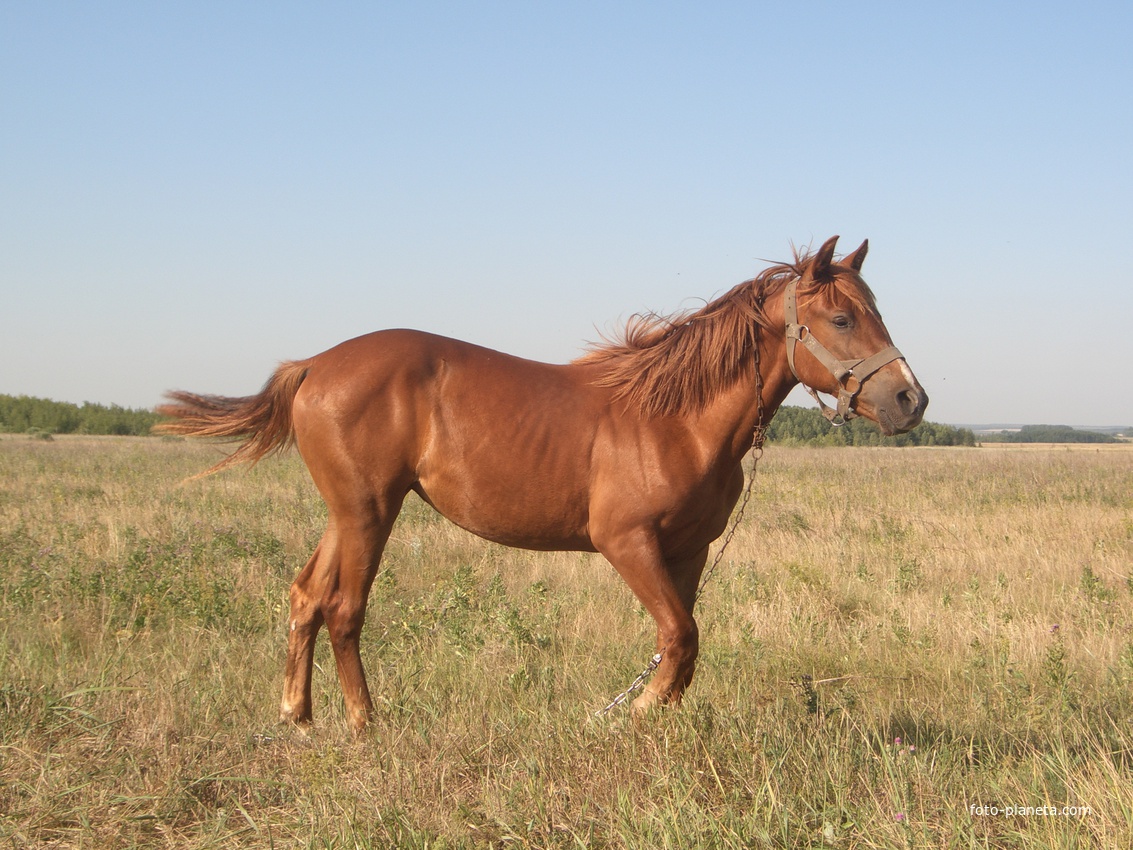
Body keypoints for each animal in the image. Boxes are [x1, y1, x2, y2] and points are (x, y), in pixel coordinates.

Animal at [159, 238, 924, 734]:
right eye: (842, 318)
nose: (909, 401)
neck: (675, 417)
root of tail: (315, 364)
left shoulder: (688, 552)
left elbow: (681, 647)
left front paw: (654, 720)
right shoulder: (625, 542)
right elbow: (679, 635)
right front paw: (632, 715)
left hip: (346, 513)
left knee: (306, 597)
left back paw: (298, 714)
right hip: (369, 513)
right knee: (344, 609)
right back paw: (364, 722)